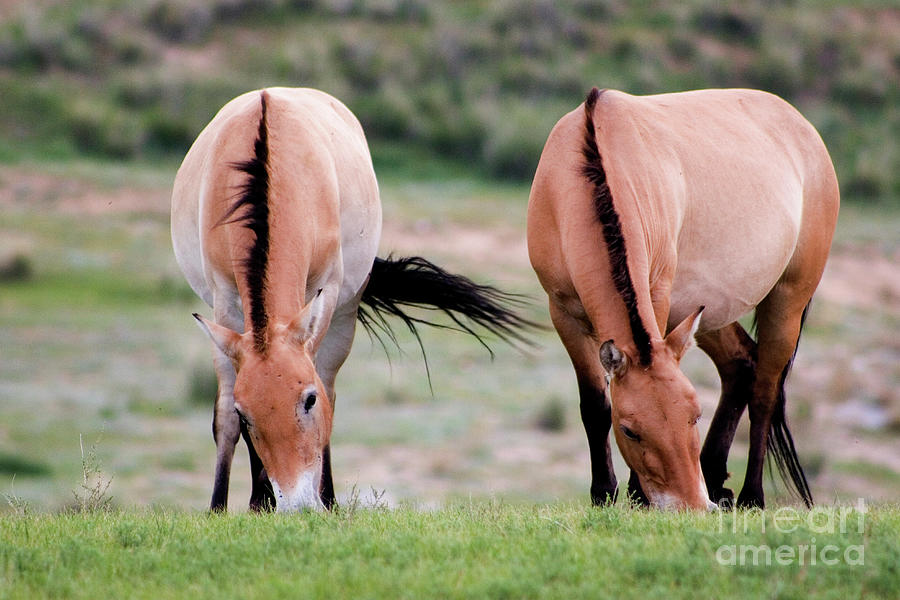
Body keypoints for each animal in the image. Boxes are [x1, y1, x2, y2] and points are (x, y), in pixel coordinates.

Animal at [532, 88, 840, 510]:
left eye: (694, 416)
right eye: (629, 431)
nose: (690, 505)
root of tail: (806, 132)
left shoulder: (657, 298)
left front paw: (635, 496)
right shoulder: (563, 313)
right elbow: (595, 406)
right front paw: (604, 494)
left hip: (787, 300)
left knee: (764, 392)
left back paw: (751, 496)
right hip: (709, 314)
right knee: (742, 366)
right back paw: (716, 478)